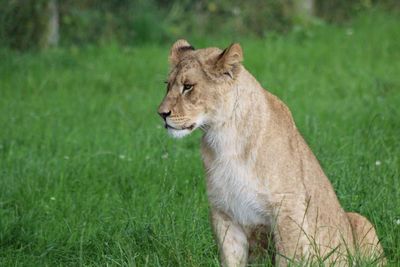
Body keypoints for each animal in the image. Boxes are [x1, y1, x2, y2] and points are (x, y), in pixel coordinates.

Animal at [158, 40, 386, 267]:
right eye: (168, 85)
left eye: (188, 86)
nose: (161, 114)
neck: (224, 138)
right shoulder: (224, 213)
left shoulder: (288, 209)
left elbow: (288, 259)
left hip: (360, 220)